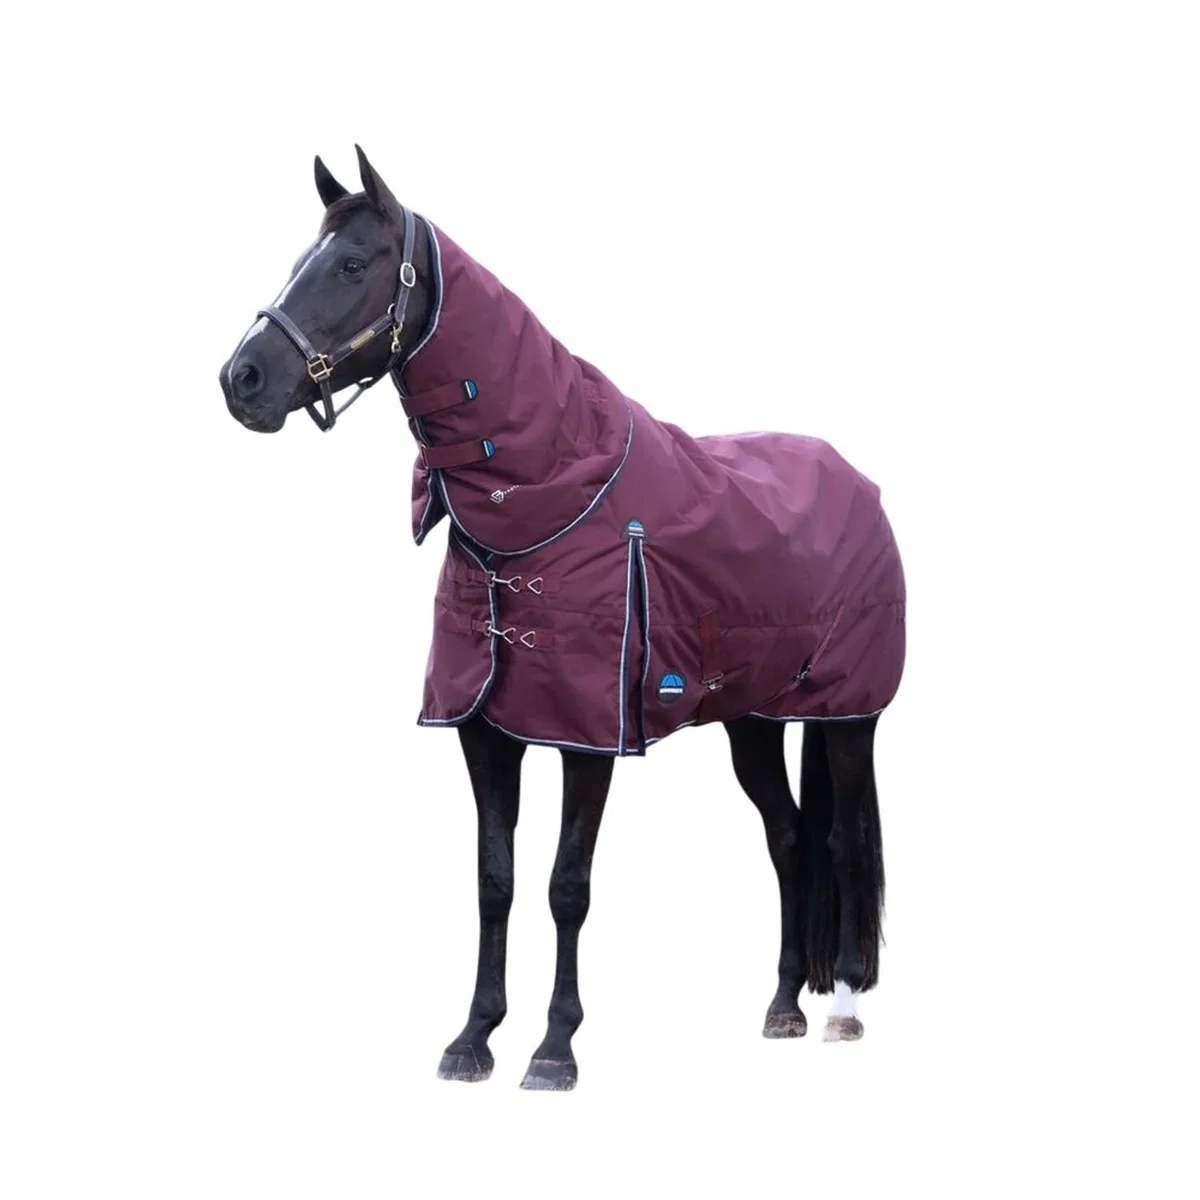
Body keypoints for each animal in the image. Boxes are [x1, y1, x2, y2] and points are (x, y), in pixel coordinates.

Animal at [219, 146, 905, 1091]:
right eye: (300, 260)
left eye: (353, 264)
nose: (240, 380)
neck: (547, 500)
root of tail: (856, 483)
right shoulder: (484, 732)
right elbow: (494, 881)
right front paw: (473, 1038)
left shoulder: (587, 736)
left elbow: (565, 885)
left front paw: (553, 1049)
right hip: (754, 721)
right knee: (789, 838)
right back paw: (780, 1008)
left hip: (847, 715)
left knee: (839, 841)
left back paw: (839, 1008)